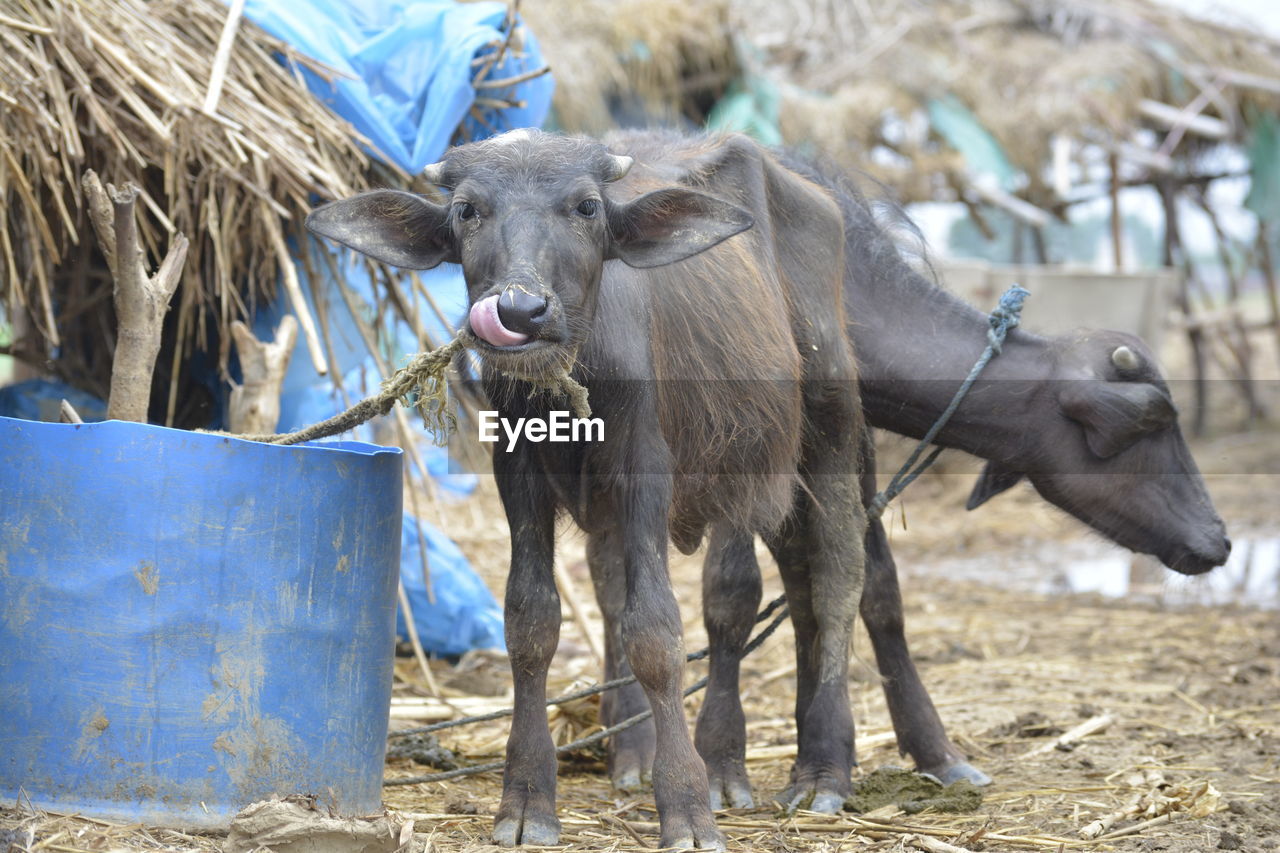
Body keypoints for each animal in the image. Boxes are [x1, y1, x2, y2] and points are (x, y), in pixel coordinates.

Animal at [309, 129, 870, 845]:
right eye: (467, 210)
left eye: (586, 207)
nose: (520, 310)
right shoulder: (517, 473)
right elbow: (531, 621)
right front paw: (526, 800)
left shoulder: (647, 472)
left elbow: (657, 630)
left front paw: (686, 806)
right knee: (714, 588)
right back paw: (648, 757)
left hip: (822, 426)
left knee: (822, 577)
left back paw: (807, 770)